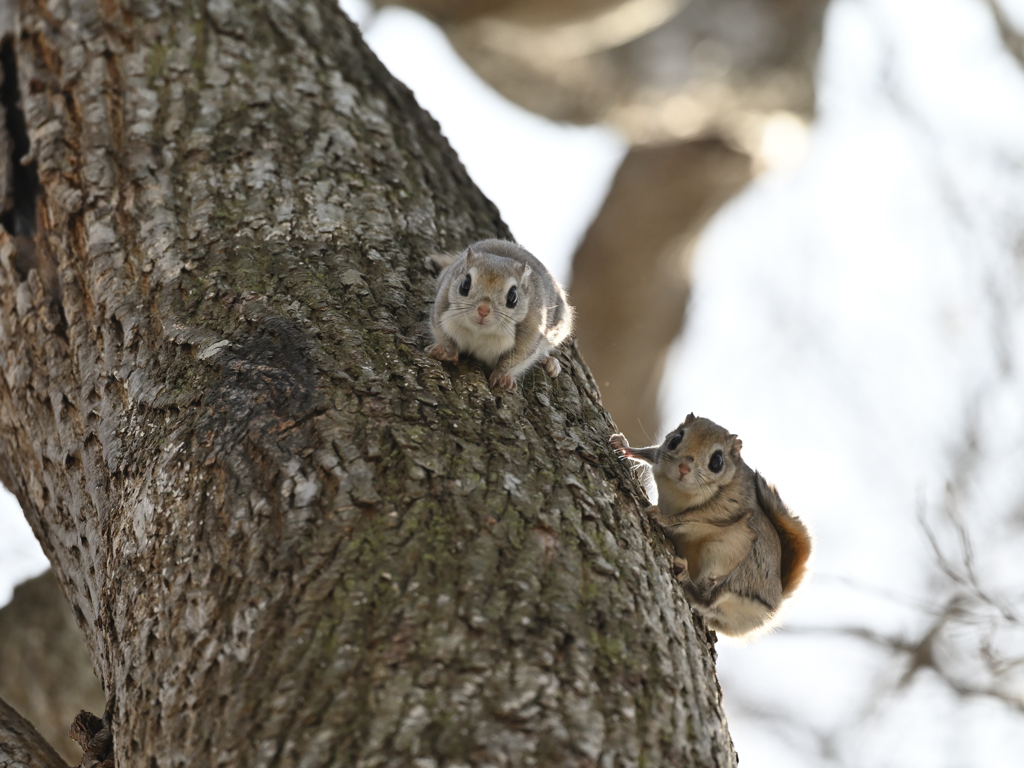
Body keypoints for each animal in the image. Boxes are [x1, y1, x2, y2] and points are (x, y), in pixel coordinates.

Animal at [425, 240, 577, 393]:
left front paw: (502, 376)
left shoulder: (530, 334)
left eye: (512, 297)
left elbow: (515, 359)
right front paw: (444, 351)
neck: (479, 332)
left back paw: (549, 362)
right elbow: (443, 335)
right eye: (465, 284)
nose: (483, 310)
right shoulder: (440, 309)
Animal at [610, 415, 811, 638]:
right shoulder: (661, 457)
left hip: (744, 567)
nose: (684, 468)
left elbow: (692, 516)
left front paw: (661, 517)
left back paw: (687, 580)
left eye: (717, 461)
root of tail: (773, 606)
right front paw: (624, 445)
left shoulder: (729, 504)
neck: (678, 489)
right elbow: (653, 453)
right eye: (675, 439)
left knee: (710, 599)